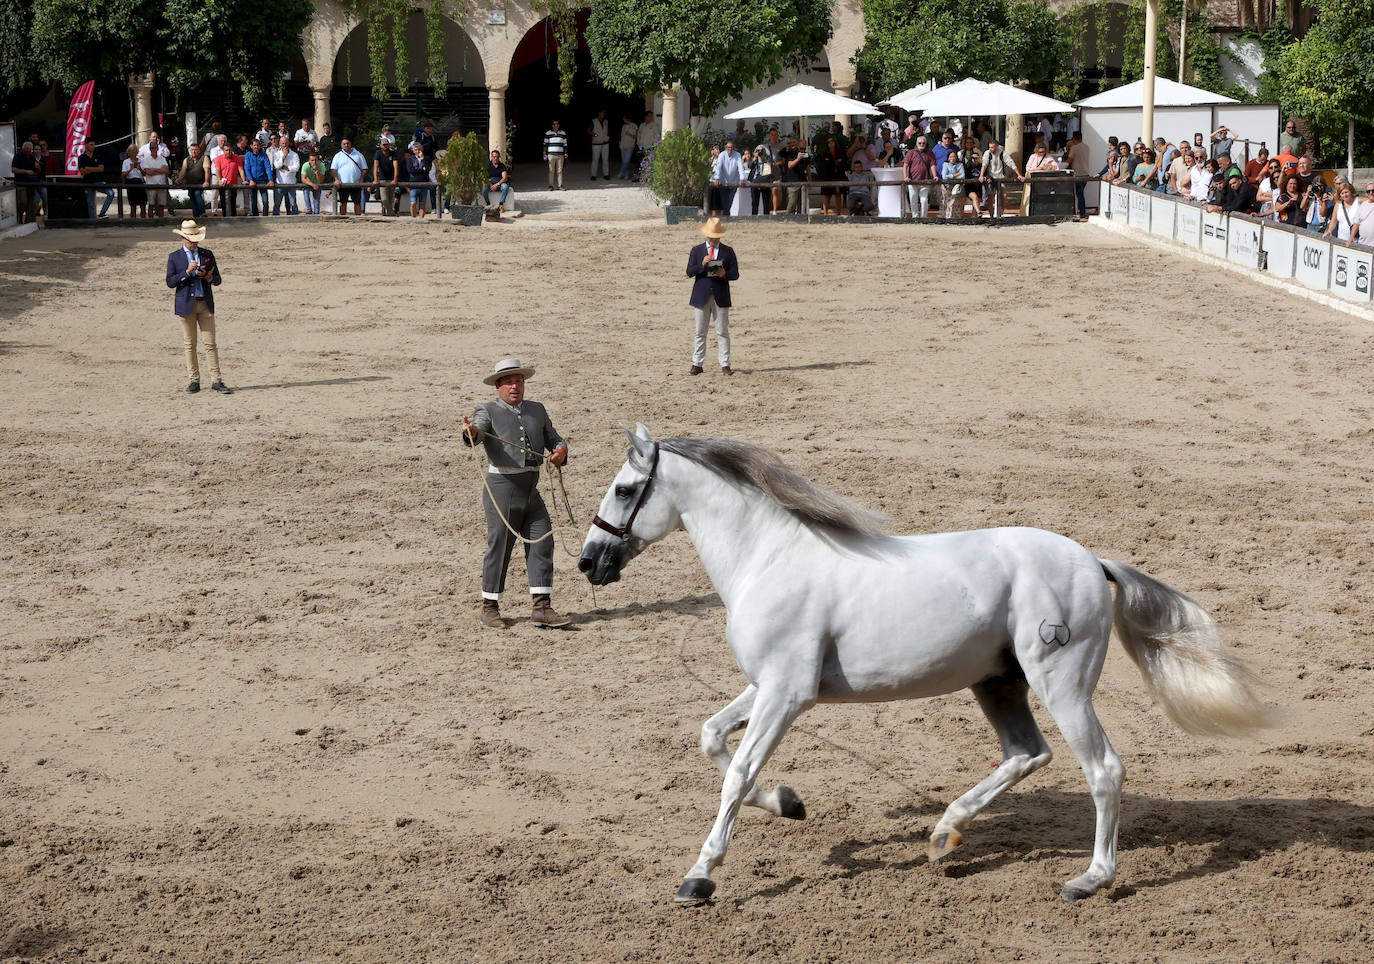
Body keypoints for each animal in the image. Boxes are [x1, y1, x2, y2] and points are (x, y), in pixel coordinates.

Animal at [574, 428, 1269, 906]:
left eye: (626, 489)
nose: (588, 562)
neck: (768, 560)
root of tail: (1093, 561)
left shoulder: (785, 695)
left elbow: (737, 773)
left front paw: (700, 876)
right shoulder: (768, 686)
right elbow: (712, 738)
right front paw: (789, 802)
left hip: (1061, 683)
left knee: (1103, 769)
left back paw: (1090, 879)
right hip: (998, 684)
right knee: (1027, 753)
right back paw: (944, 835)